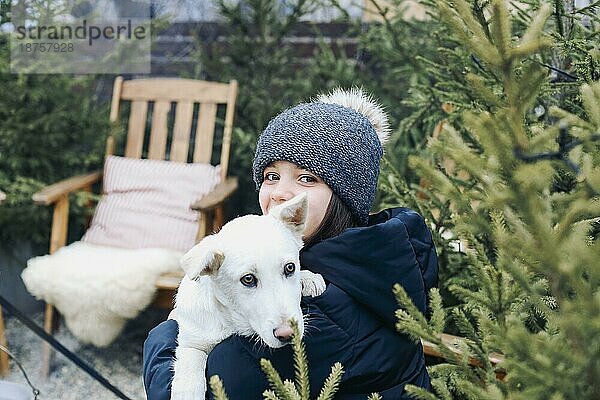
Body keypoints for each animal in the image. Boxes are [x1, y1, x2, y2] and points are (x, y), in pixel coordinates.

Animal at [169, 192, 326, 398]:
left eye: (290, 268)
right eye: (248, 279)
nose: (288, 334)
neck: (231, 319)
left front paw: (308, 278)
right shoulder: (191, 341)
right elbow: (190, 365)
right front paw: (188, 392)